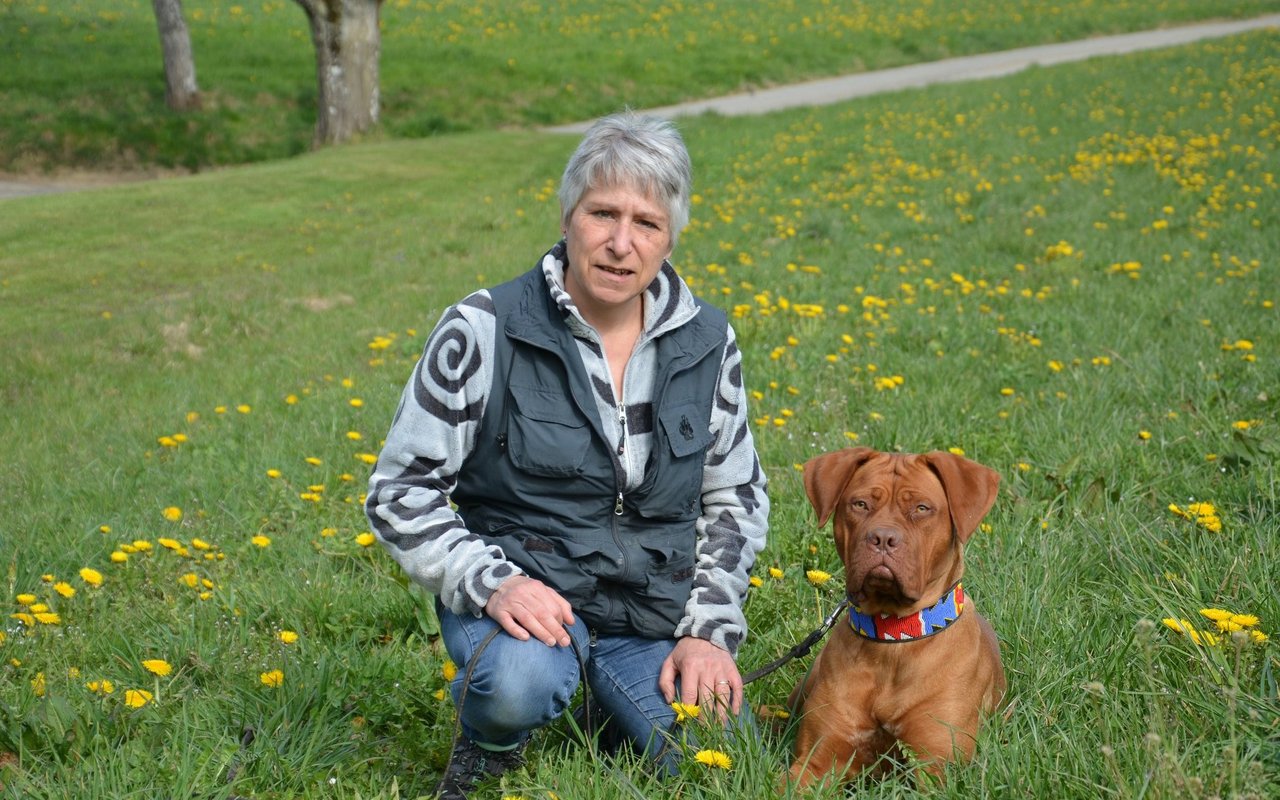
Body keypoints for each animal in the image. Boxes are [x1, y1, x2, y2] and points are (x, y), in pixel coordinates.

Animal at [783, 445, 1003, 788]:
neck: (892, 635)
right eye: (860, 504)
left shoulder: (937, 770)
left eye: (922, 508)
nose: (883, 538)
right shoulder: (814, 764)